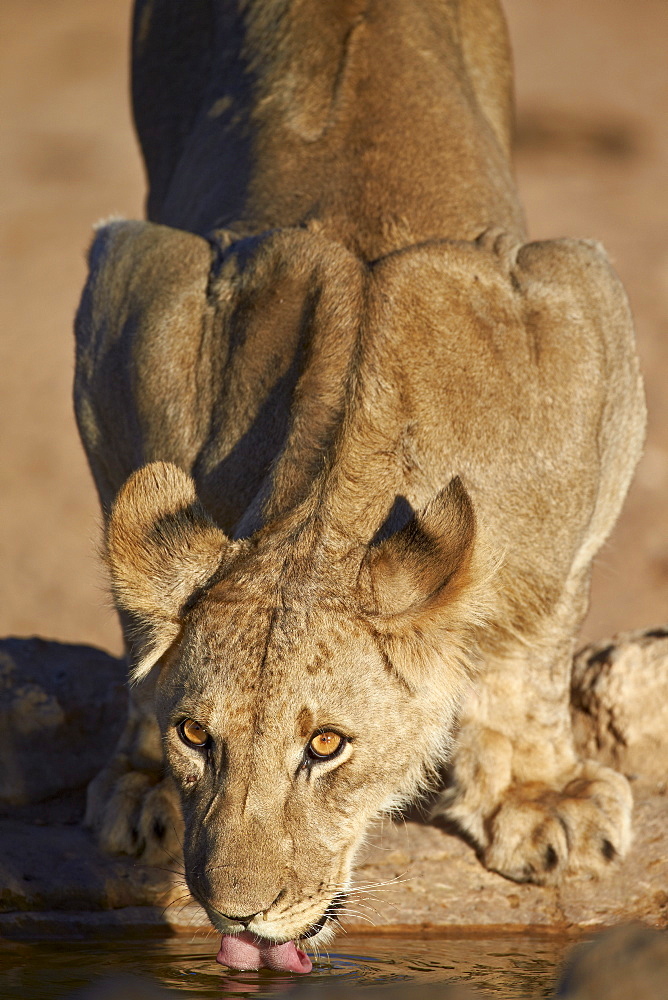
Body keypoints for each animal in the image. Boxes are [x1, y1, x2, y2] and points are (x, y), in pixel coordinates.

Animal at [73, 0, 648, 972]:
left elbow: (537, 631)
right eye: (196, 734)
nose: (236, 913)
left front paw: (538, 799)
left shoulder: (583, 315)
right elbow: (133, 611)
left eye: (327, 745)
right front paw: (140, 779)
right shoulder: (131, 307)